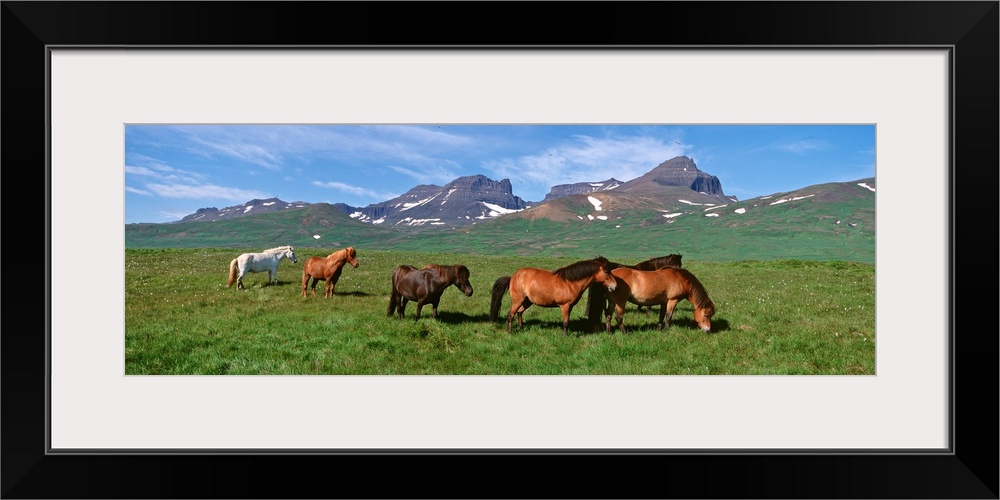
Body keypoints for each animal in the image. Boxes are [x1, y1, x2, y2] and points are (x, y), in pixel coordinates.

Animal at [490, 256, 620, 334]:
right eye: (606, 271)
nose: (615, 286)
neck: (570, 282)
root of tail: (513, 277)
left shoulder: (570, 306)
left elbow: (567, 321)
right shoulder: (565, 306)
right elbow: (565, 322)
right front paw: (565, 336)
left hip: (527, 301)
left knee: (519, 312)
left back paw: (521, 327)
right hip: (518, 300)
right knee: (510, 314)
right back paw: (510, 331)